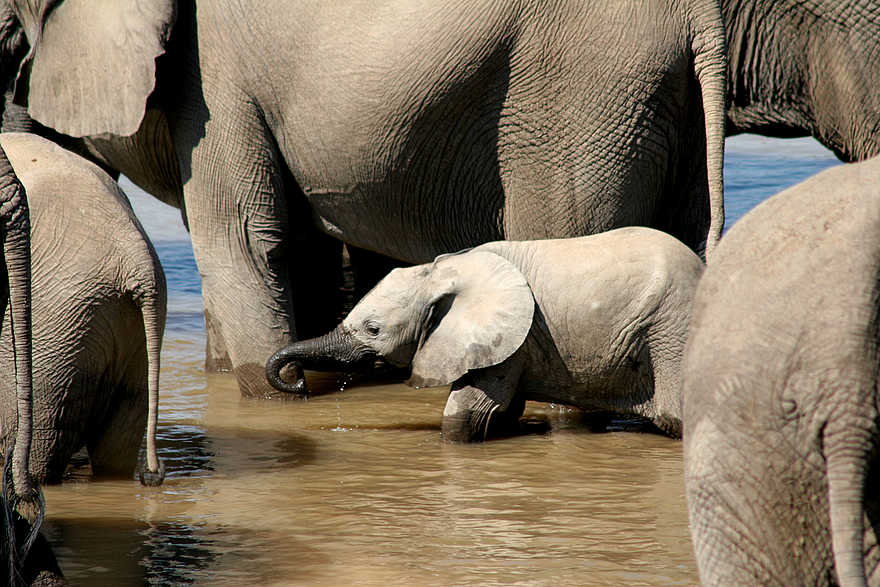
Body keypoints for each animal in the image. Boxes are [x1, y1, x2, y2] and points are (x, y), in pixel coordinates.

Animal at [0, 0, 727, 398]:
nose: (293, 378)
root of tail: (700, 15)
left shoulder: (212, 76)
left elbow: (242, 238)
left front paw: (277, 400)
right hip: (662, 106)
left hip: (581, 95)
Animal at [267, 227, 705, 441]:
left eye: (373, 330)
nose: (297, 384)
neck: (441, 271)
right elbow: (502, 411)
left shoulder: (515, 340)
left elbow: (469, 410)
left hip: (669, 328)